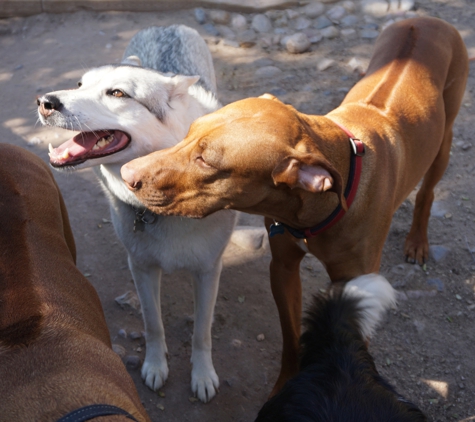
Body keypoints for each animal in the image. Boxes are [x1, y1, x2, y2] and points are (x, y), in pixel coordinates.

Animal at [36, 26, 237, 402]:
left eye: (117, 93)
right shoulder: (141, 267)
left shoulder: (208, 271)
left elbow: (201, 333)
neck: (165, 210)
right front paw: (155, 367)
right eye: (80, 84)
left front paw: (203, 376)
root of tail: (165, 26)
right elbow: (152, 324)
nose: (44, 101)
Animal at [121, 17, 470, 396]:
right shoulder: (283, 266)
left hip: (444, 141)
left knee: (427, 193)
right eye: (188, 133)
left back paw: (417, 241)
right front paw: (285, 383)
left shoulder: (358, 283)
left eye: (206, 161)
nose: (126, 174)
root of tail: (425, 20)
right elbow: (291, 336)